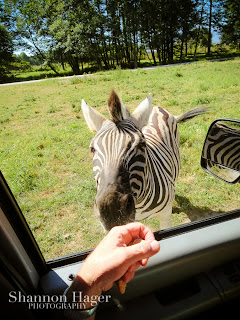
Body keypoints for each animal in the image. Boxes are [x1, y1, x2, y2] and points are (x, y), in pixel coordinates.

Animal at [81, 89, 205, 230]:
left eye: (142, 145)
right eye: (92, 149)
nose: (112, 209)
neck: (139, 204)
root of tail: (157, 107)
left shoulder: (165, 217)